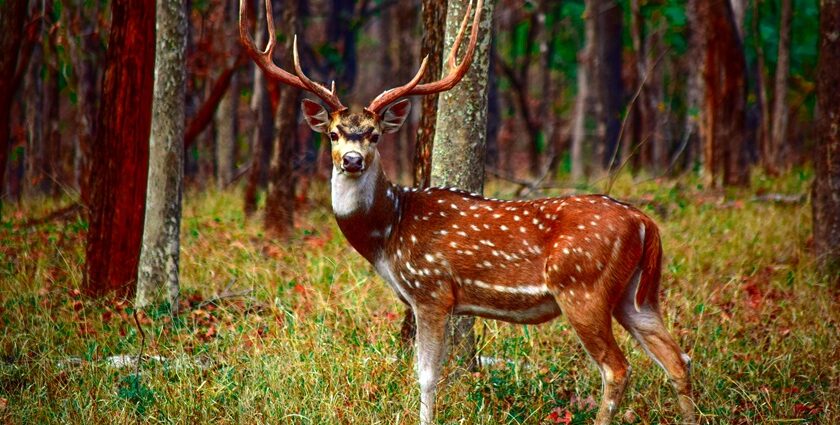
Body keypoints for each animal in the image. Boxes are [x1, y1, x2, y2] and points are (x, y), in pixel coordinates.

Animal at [238, 0, 696, 424]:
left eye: (374, 134)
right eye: (334, 133)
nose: (352, 160)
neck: (389, 233)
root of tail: (645, 223)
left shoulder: (431, 290)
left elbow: (426, 376)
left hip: (584, 287)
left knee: (617, 368)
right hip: (636, 294)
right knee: (677, 359)